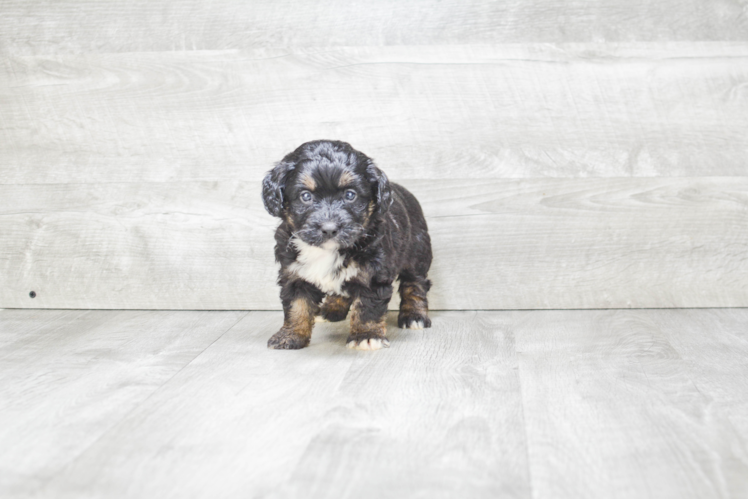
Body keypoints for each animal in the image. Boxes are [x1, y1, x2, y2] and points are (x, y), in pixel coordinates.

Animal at [262, 140, 432, 352]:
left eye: (350, 195)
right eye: (305, 196)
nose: (329, 229)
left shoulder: (372, 274)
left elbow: (367, 308)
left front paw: (366, 336)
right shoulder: (294, 273)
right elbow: (296, 305)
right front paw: (290, 335)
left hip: (417, 251)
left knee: (415, 284)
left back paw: (414, 315)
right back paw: (332, 309)